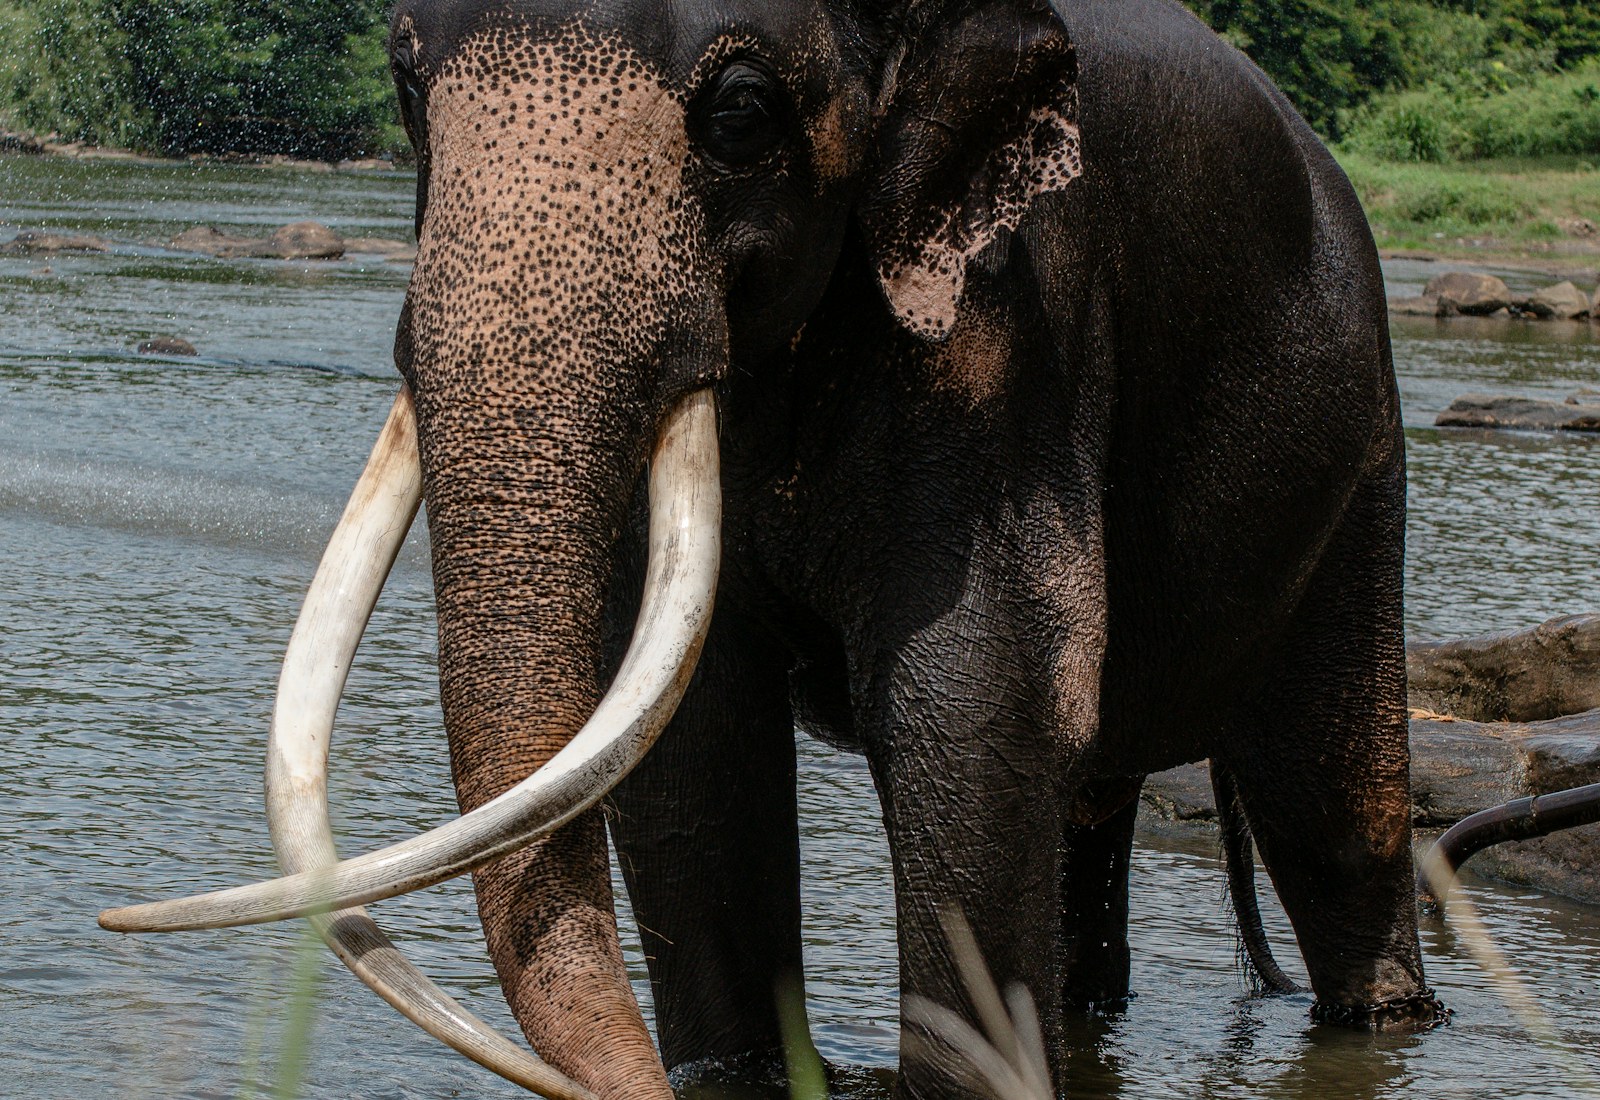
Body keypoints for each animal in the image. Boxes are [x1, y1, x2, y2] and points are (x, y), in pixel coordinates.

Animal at [100, 0, 1447, 1096]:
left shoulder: (1014, 330)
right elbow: (695, 742)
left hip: (1360, 445)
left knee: (1332, 798)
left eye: (741, 110)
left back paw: (1382, 1015)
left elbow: (976, 700)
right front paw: (737, 1072)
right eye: (403, 79)